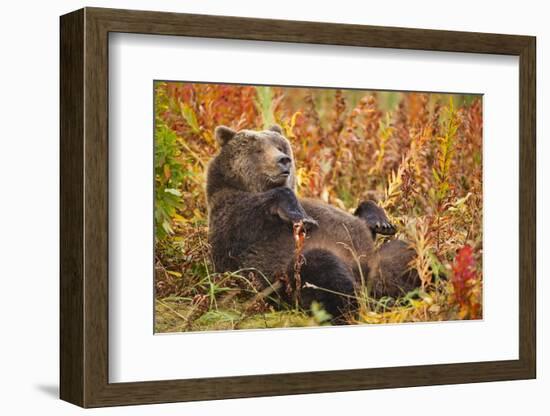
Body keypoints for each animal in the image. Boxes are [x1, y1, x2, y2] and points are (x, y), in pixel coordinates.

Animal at [206, 125, 418, 320]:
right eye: (258, 150)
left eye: (280, 146)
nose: (284, 160)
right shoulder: (234, 218)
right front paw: (303, 217)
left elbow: (362, 219)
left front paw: (382, 222)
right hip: (291, 278)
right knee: (322, 268)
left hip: (381, 260)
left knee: (405, 252)